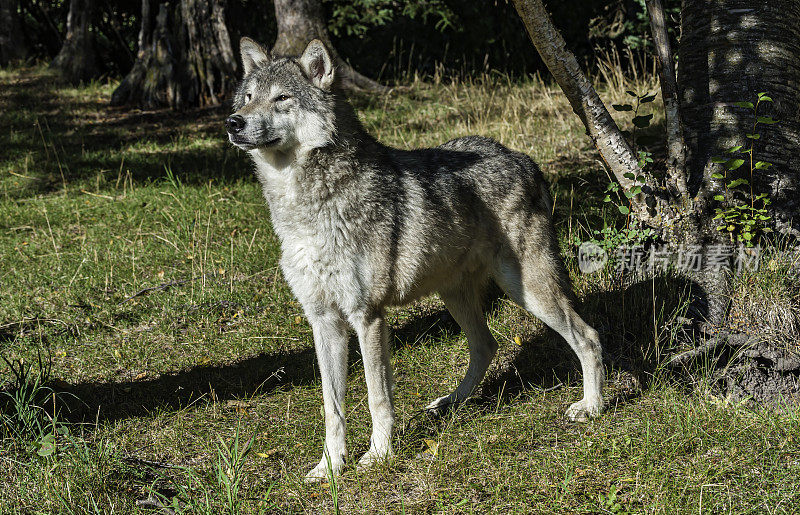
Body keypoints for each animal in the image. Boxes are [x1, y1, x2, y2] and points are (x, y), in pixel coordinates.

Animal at [222, 38, 604, 482]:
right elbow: (332, 408)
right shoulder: (323, 321)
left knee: (587, 336)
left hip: (527, 290)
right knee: (486, 346)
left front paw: (378, 455)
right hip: (455, 297)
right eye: (248, 98)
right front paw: (330, 468)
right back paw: (451, 403)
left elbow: (377, 398)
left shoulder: (367, 316)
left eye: (281, 98)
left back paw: (591, 407)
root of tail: (522, 158)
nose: (233, 122)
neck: (304, 207)